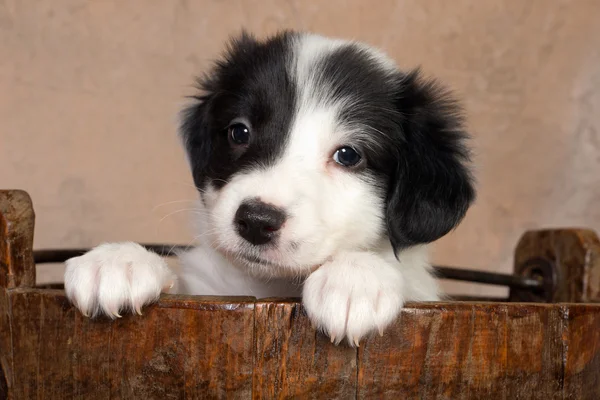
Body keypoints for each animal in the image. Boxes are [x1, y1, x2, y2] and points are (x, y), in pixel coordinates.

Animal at [64, 29, 474, 346]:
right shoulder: (209, 289)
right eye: (239, 131)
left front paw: (355, 278)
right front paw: (121, 261)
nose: (257, 221)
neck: (272, 288)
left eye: (348, 155)